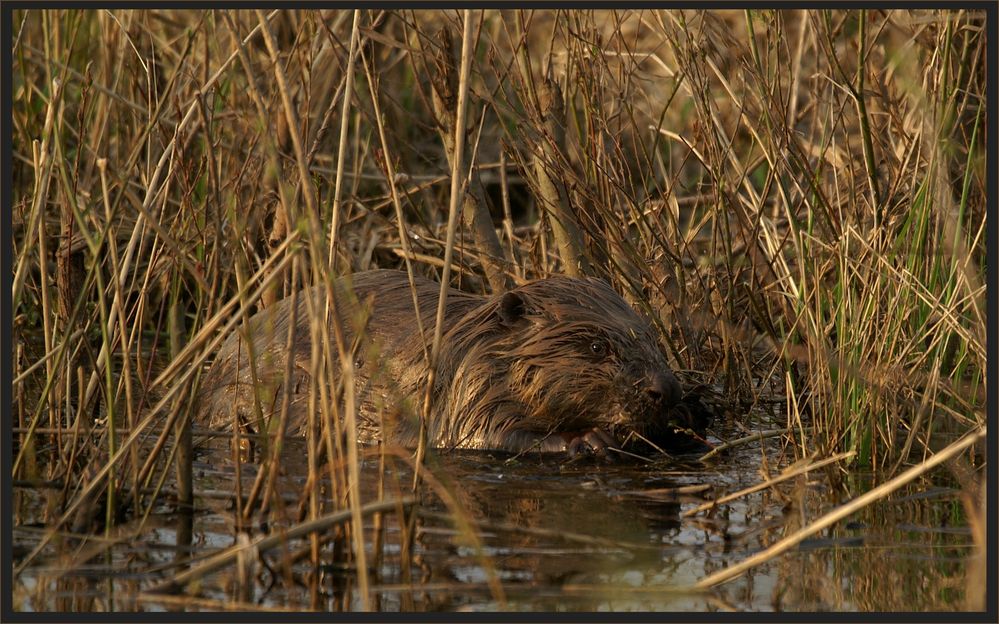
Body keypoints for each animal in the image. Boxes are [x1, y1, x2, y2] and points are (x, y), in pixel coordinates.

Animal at [197, 270, 712, 456]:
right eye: (596, 348)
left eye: (651, 337)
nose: (665, 390)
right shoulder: (467, 387)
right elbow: (482, 434)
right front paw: (589, 438)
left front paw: (695, 411)